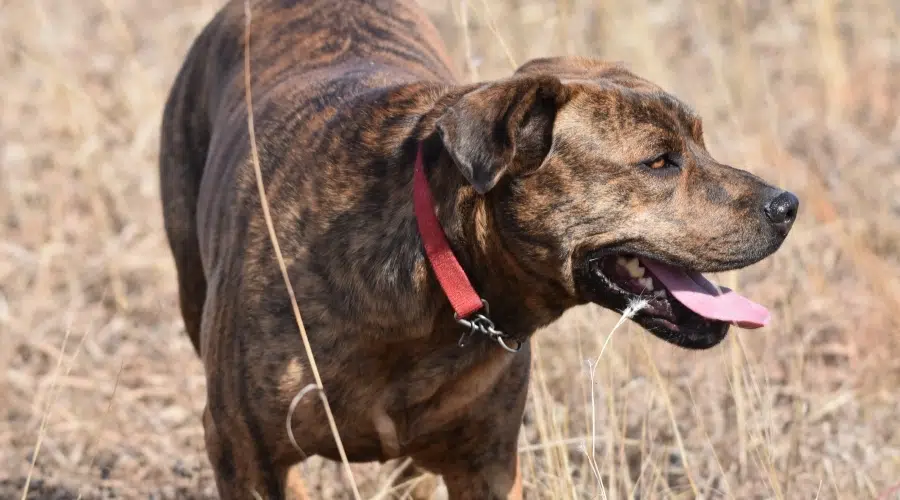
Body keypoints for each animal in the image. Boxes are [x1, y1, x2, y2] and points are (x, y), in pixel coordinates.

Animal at [158, 0, 800, 500]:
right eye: (660, 162)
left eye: (701, 142)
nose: (787, 205)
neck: (436, 267)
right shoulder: (246, 453)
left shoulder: (486, 464)